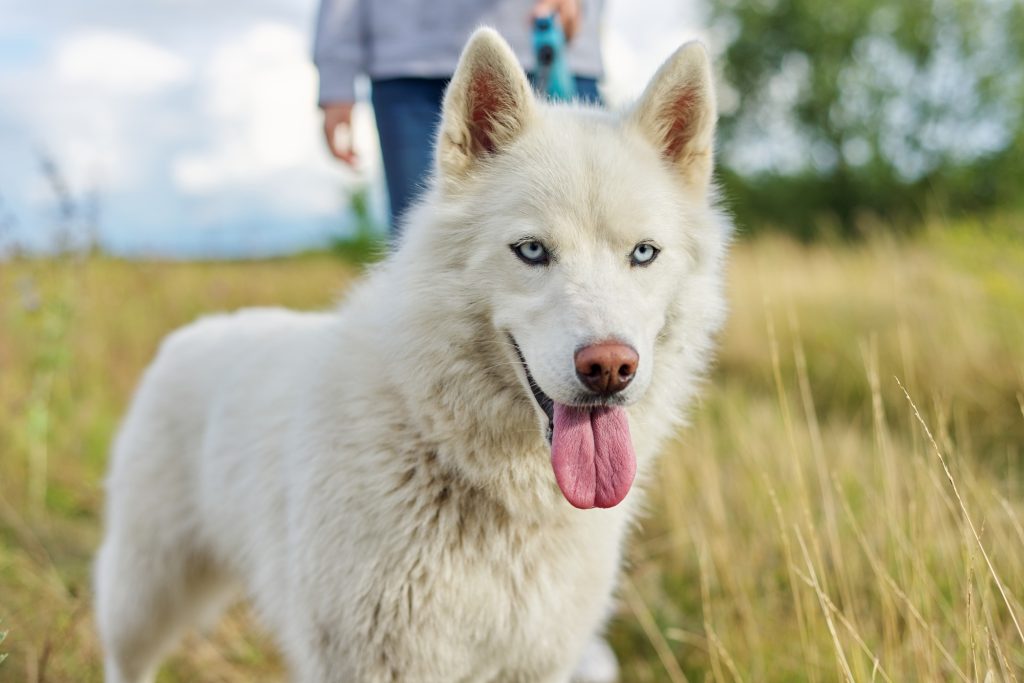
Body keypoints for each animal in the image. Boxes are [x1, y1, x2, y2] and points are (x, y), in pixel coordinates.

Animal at [92, 28, 724, 683]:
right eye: (531, 250)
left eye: (643, 253)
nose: (609, 368)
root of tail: (190, 335)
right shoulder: (370, 661)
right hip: (142, 594)